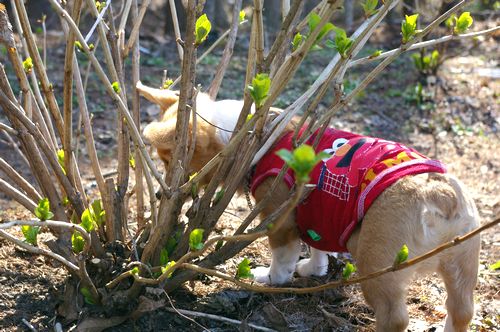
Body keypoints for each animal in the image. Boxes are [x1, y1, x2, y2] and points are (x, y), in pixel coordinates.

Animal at [138, 81, 480, 330]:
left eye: (170, 162)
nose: (162, 196)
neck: (255, 136)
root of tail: (439, 195)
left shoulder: (279, 218)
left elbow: (282, 257)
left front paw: (271, 278)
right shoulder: (317, 215)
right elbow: (317, 247)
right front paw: (314, 269)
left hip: (378, 266)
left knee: (394, 318)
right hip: (463, 262)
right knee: (462, 310)